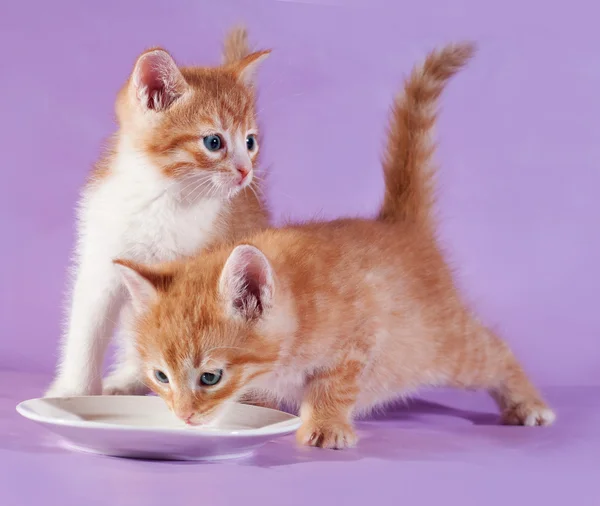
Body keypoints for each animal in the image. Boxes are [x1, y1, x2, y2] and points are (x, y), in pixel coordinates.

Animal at [45, 27, 270, 398]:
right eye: (214, 142)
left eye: (250, 142)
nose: (245, 172)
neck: (161, 199)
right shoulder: (101, 263)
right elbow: (87, 329)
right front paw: (74, 392)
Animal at [115, 42, 556, 446]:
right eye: (160, 376)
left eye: (210, 376)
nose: (185, 416)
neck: (298, 305)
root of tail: (400, 225)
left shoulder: (359, 338)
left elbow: (334, 383)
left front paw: (326, 426)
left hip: (441, 344)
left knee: (492, 350)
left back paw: (528, 403)